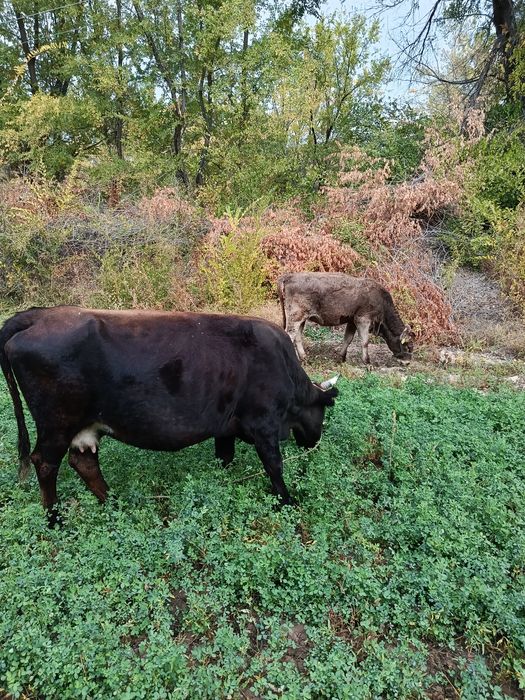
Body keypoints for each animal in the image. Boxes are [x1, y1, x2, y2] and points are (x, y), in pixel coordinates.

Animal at [0, 306, 338, 525]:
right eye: (322, 413)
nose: (314, 442)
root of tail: (41, 314)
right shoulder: (264, 423)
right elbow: (274, 466)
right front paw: (287, 502)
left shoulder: (226, 427)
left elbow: (225, 457)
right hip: (57, 422)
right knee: (45, 463)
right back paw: (54, 519)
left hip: (83, 424)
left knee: (83, 462)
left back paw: (114, 503)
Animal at [278, 272, 415, 365]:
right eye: (407, 346)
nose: (408, 362)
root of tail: (289, 276)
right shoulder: (363, 319)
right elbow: (365, 341)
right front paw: (367, 362)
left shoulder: (352, 321)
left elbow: (348, 339)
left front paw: (341, 358)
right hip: (296, 317)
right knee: (290, 335)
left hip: (301, 319)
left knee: (298, 337)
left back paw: (304, 358)